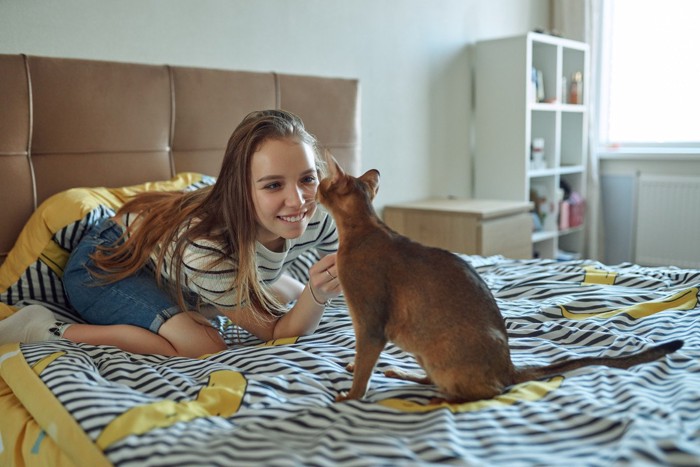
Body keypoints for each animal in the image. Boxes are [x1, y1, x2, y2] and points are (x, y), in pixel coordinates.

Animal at [318, 160, 684, 402]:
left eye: (320, 182)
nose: (316, 186)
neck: (365, 229)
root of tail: (509, 366)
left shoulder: (370, 325)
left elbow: (363, 372)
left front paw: (349, 397)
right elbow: (363, 364)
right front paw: (355, 372)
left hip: (442, 351)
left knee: (483, 392)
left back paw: (441, 399)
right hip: (424, 349)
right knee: (434, 380)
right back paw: (402, 375)